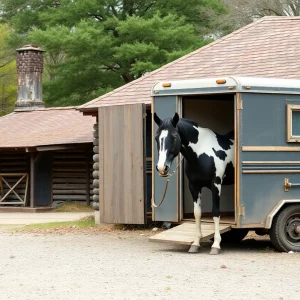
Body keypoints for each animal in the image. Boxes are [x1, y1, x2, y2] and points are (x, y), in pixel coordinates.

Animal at [155, 111, 234, 254]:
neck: (202, 153)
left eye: (174, 136)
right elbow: (197, 213)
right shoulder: (193, 186)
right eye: (156, 138)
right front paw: (196, 243)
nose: (162, 168)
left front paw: (216, 244)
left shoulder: (216, 185)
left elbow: (216, 212)